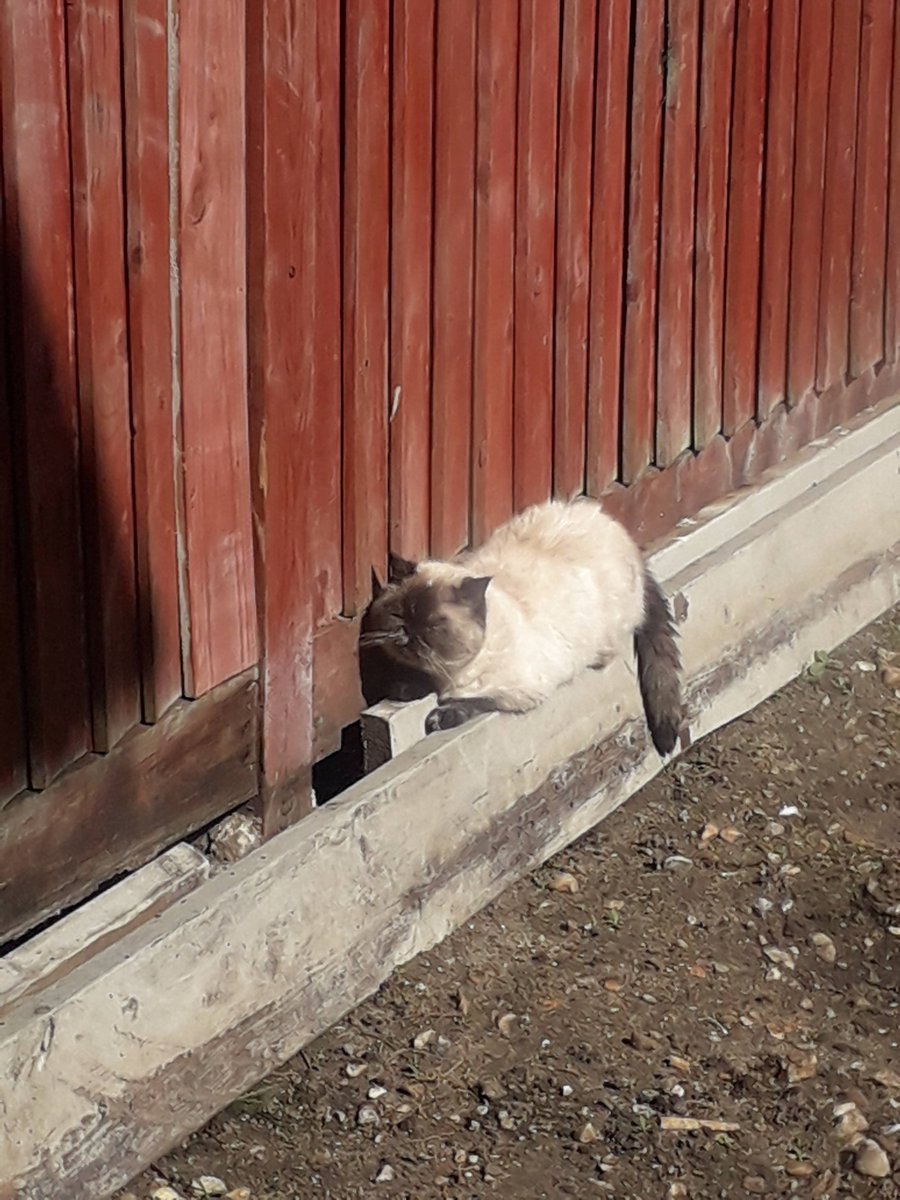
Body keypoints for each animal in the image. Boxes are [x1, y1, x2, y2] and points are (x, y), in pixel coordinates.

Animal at [360, 496, 681, 748]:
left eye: (432, 625)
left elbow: (475, 702)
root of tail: (628, 541)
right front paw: (406, 687)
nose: (406, 634)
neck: (448, 676)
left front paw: (440, 715)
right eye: (399, 614)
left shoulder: (520, 692)